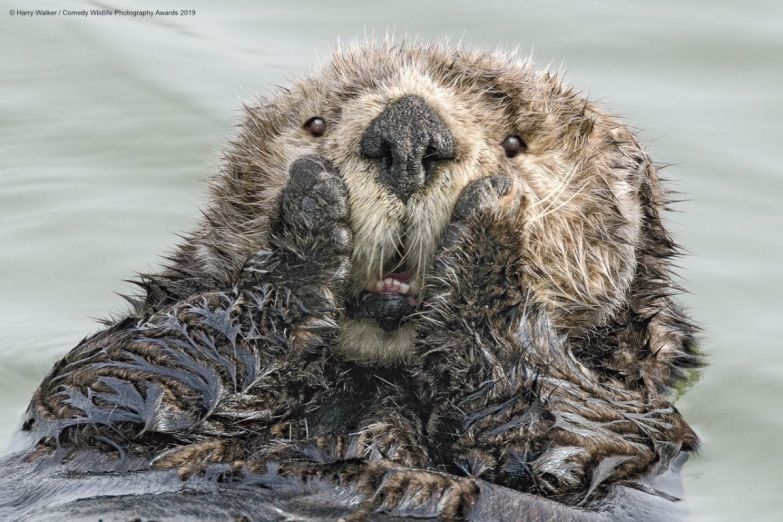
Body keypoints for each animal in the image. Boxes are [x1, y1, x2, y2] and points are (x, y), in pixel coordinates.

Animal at [3, 42, 700, 516]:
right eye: (316, 124)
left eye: (514, 143)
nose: (409, 133)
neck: (374, 379)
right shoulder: (92, 403)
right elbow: (118, 374)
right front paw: (309, 218)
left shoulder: (634, 430)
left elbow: (556, 429)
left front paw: (491, 225)